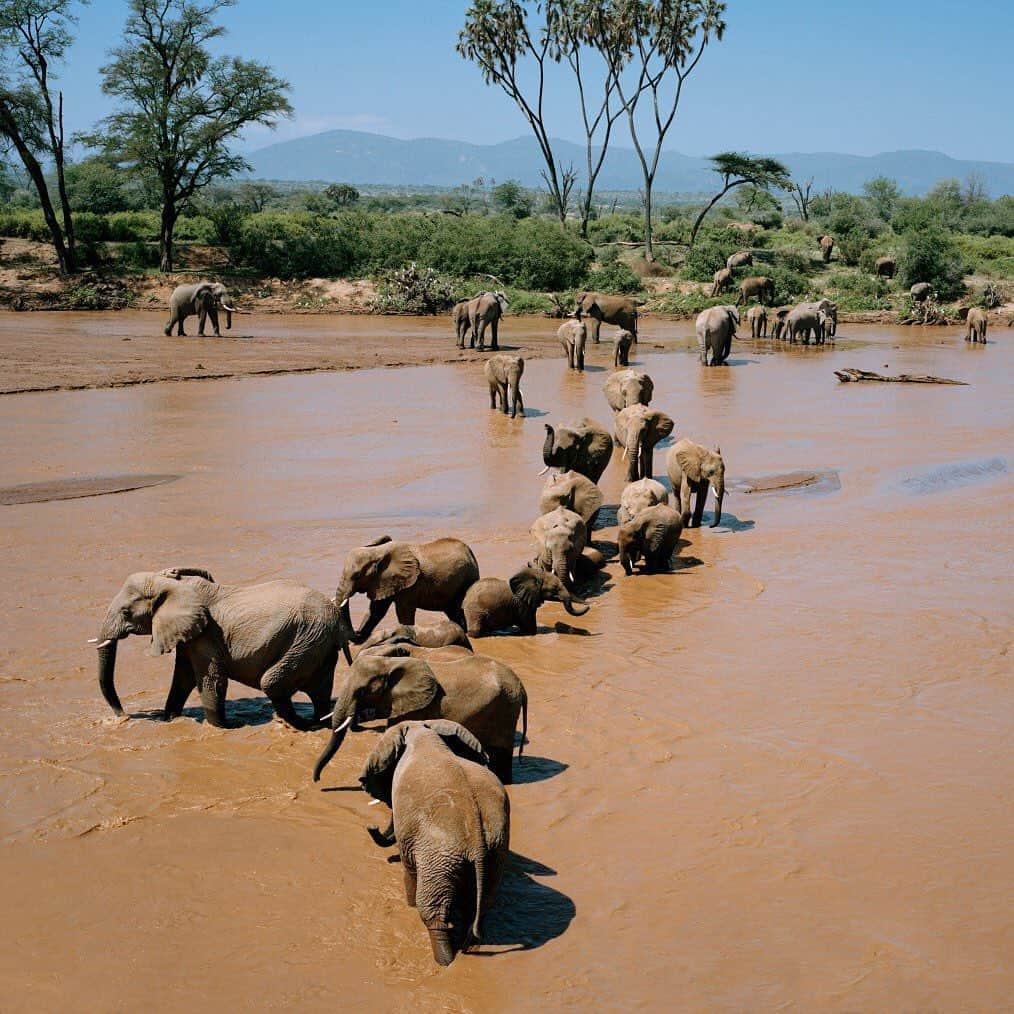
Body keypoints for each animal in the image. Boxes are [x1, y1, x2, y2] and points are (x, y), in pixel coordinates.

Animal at [92, 571, 352, 730]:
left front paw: (221, 728)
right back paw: (318, 721)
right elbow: (183, 678)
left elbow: (210, 679)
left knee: (271, 682)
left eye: (126, 612)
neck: (173, 584)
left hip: (308, 638)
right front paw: (169, 719)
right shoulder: (189, 634)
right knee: (319, 688)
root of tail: (336, 615)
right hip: (317, 643)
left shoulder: (207, 633)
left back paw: (300, 724)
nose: (122, 715)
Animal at [312, 648, 527, 782]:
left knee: (500, 753)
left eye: (362, 691)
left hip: (505, 708)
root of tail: (521, 686)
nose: (317, 780)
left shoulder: (416, 707)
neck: (389, 663)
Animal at [330, 535, 476, 644]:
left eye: (357, 576)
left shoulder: (409, 584)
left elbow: (404, 613)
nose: (357, 633)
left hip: (468, 577)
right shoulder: (382, 581)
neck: (377, 552)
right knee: (453, 611)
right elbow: (376, 611)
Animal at [358, 721, 511, 965]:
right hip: (495, 850)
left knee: (433, 912)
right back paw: (468, 947)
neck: (422, 731)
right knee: (482, 904)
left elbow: (409, 868)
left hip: (439, 855)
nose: (371, 827)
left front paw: (409, 904)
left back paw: (445, 962)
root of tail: (477, 841)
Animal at [464, 567, 592, 636]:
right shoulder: (522, 604)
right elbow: (529, 627)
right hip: (475, 610)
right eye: (555, 589)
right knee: (476, 629)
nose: (589, 605)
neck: (536, 575)